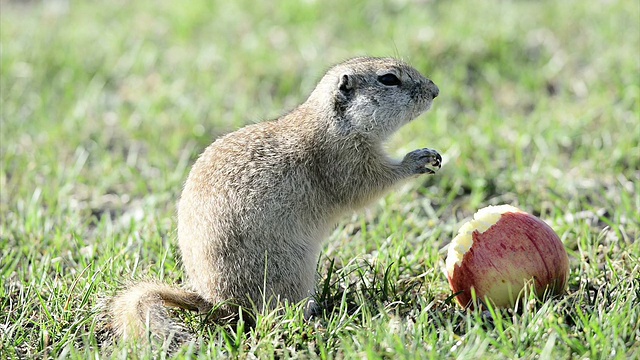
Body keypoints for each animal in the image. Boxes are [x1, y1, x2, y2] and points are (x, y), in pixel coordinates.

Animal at [109, 57, 440, 344]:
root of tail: (217, 304)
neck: (335, 123)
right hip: (292, 272)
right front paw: (418, 159)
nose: (435, 90)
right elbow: (370, 184)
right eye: (389, 79)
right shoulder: (345, 161)